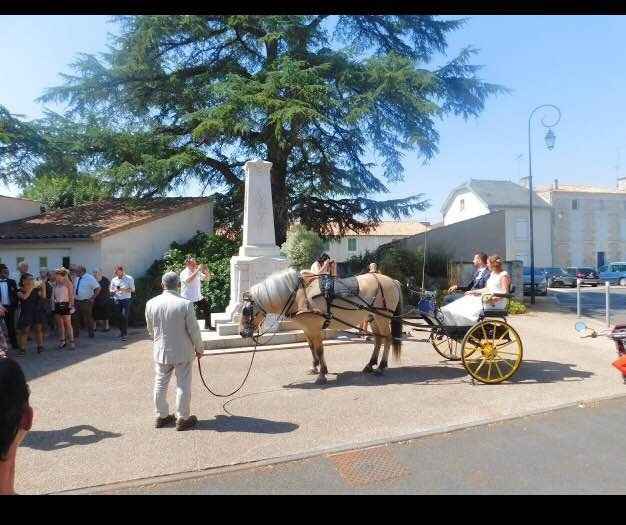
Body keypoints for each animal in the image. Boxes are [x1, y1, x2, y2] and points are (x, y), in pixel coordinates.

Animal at [236, 266, 402, 384]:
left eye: (246, 310)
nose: (242, 332)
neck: (299, 294)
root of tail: (392, 281)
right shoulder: (307, 329)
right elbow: (311, 348)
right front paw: (315, 367)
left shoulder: (315, 328)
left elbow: (320, 350)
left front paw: (322, 374)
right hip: (372, 318)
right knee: (378, 339)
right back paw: (370, 364)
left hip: (382, 318)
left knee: (387, 338)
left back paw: (381, 366)